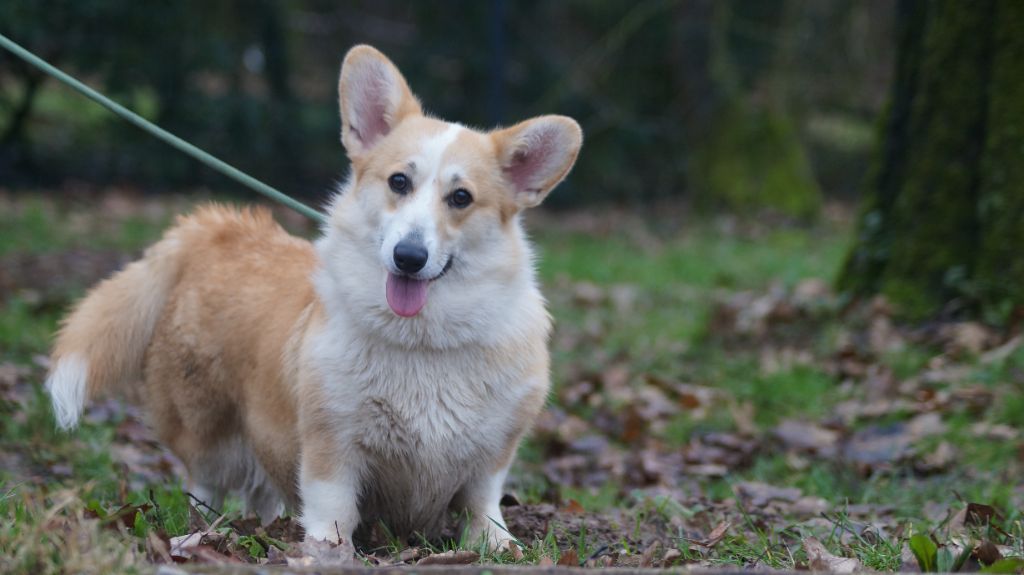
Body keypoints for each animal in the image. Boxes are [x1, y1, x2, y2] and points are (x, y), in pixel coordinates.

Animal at [44, 45, 581, 552]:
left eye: (461, 198)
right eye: (399, 182)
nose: (408, 257)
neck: (422, 343)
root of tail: (216, 228)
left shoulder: (492, 454)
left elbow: (482, 501)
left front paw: (498, 543)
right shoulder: (331, 441)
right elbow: (333, 503)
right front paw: (325, 547)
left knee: (260, 491)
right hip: (208, 427)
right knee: (205, 483)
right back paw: (203, 530)